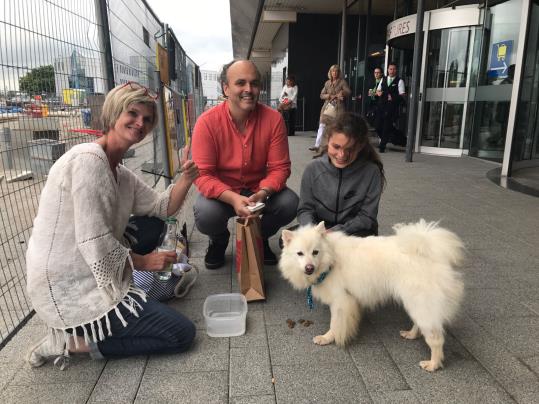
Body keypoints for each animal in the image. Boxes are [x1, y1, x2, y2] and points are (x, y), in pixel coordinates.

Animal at [278, 219, 464, 370]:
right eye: (300, 253)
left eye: (315, 252)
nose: (309, 268)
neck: (331, 258)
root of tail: (432, 252)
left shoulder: (340, 301)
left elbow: (335, 324)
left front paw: (328, 338)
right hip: (416, 303)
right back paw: (411, 334)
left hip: (420, 301)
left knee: (436, 338)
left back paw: (433, 364)